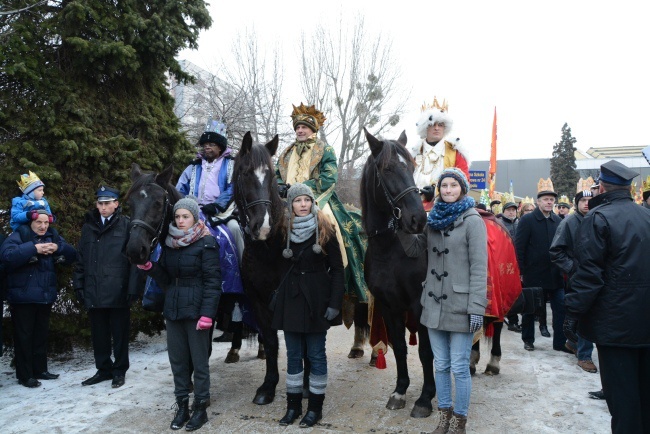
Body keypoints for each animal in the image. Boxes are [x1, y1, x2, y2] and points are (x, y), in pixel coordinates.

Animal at [360, 128, 436, 418]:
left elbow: (426, 352)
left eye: (412, 167)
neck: (390, 251)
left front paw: (425, 398)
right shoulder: (389, 305)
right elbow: (400, 348)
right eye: (388, 169)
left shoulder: (419, 304)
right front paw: (400, 390)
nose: (418, 219)